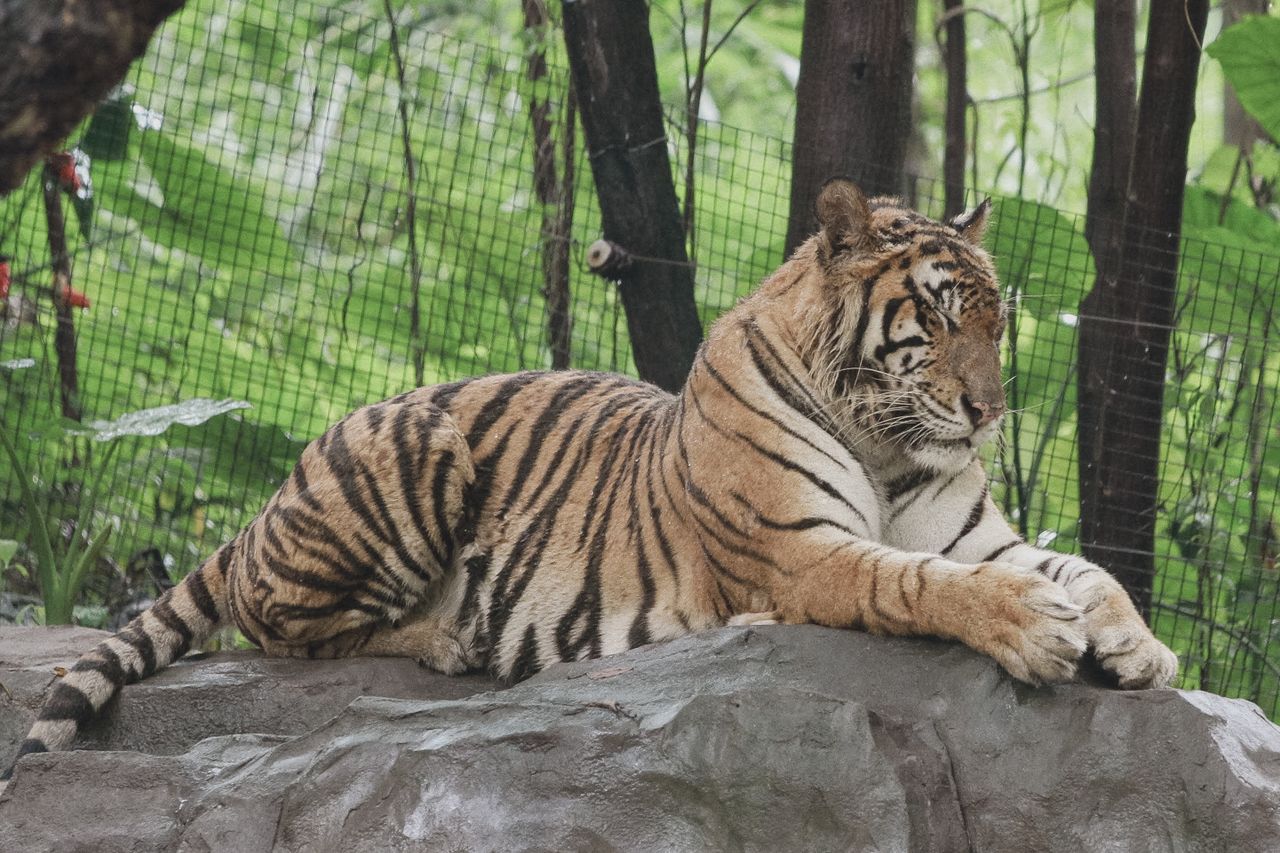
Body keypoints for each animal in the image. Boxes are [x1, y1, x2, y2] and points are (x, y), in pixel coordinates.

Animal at [4, 179, 1178, 782]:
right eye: (932, 318)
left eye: (995, 321)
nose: (987, 411)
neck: (890, 443)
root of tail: (267, 501)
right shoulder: (798, 553)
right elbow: (914, 583)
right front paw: (1032, 630)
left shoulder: (979, 534)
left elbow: (1090, 569)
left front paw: (1139, 648)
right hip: (409, 455)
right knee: (278, 624)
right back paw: (447, 636)